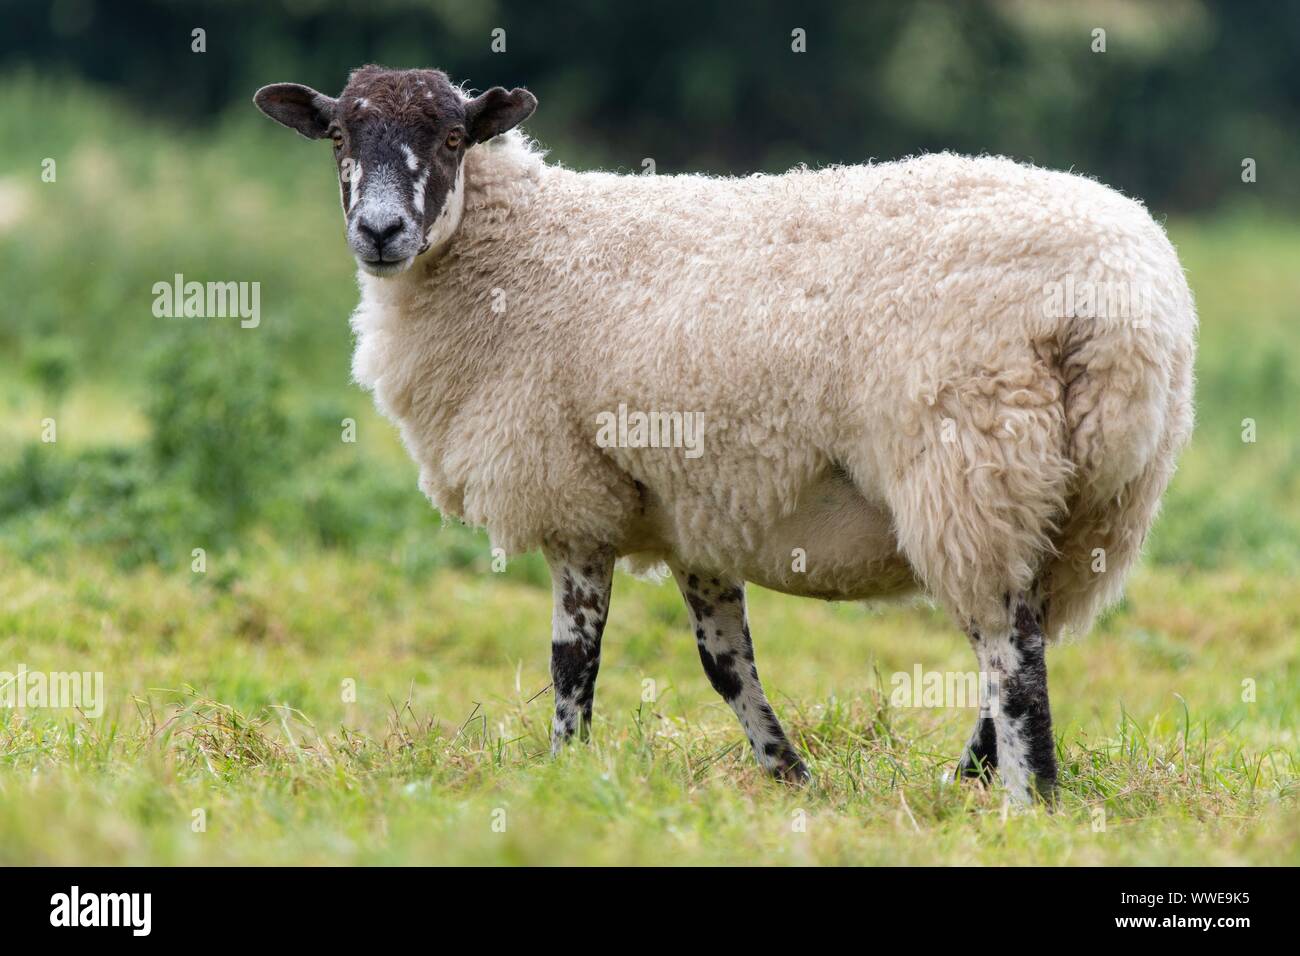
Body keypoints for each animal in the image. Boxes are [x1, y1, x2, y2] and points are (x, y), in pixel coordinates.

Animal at [254, 65, 1197, 804]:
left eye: (453, 137)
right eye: (337, 134)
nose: (381, 232)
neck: (516, 253)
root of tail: (1116, 304)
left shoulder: (572, 494)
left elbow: (573, 659)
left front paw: (564, 771)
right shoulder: (693, 513)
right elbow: (725, 664)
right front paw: (789, 776)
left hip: (972, 464)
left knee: (1013, 656)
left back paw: (1027, 800)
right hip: (1093, 496)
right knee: (1028, 639)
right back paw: (966, 779)